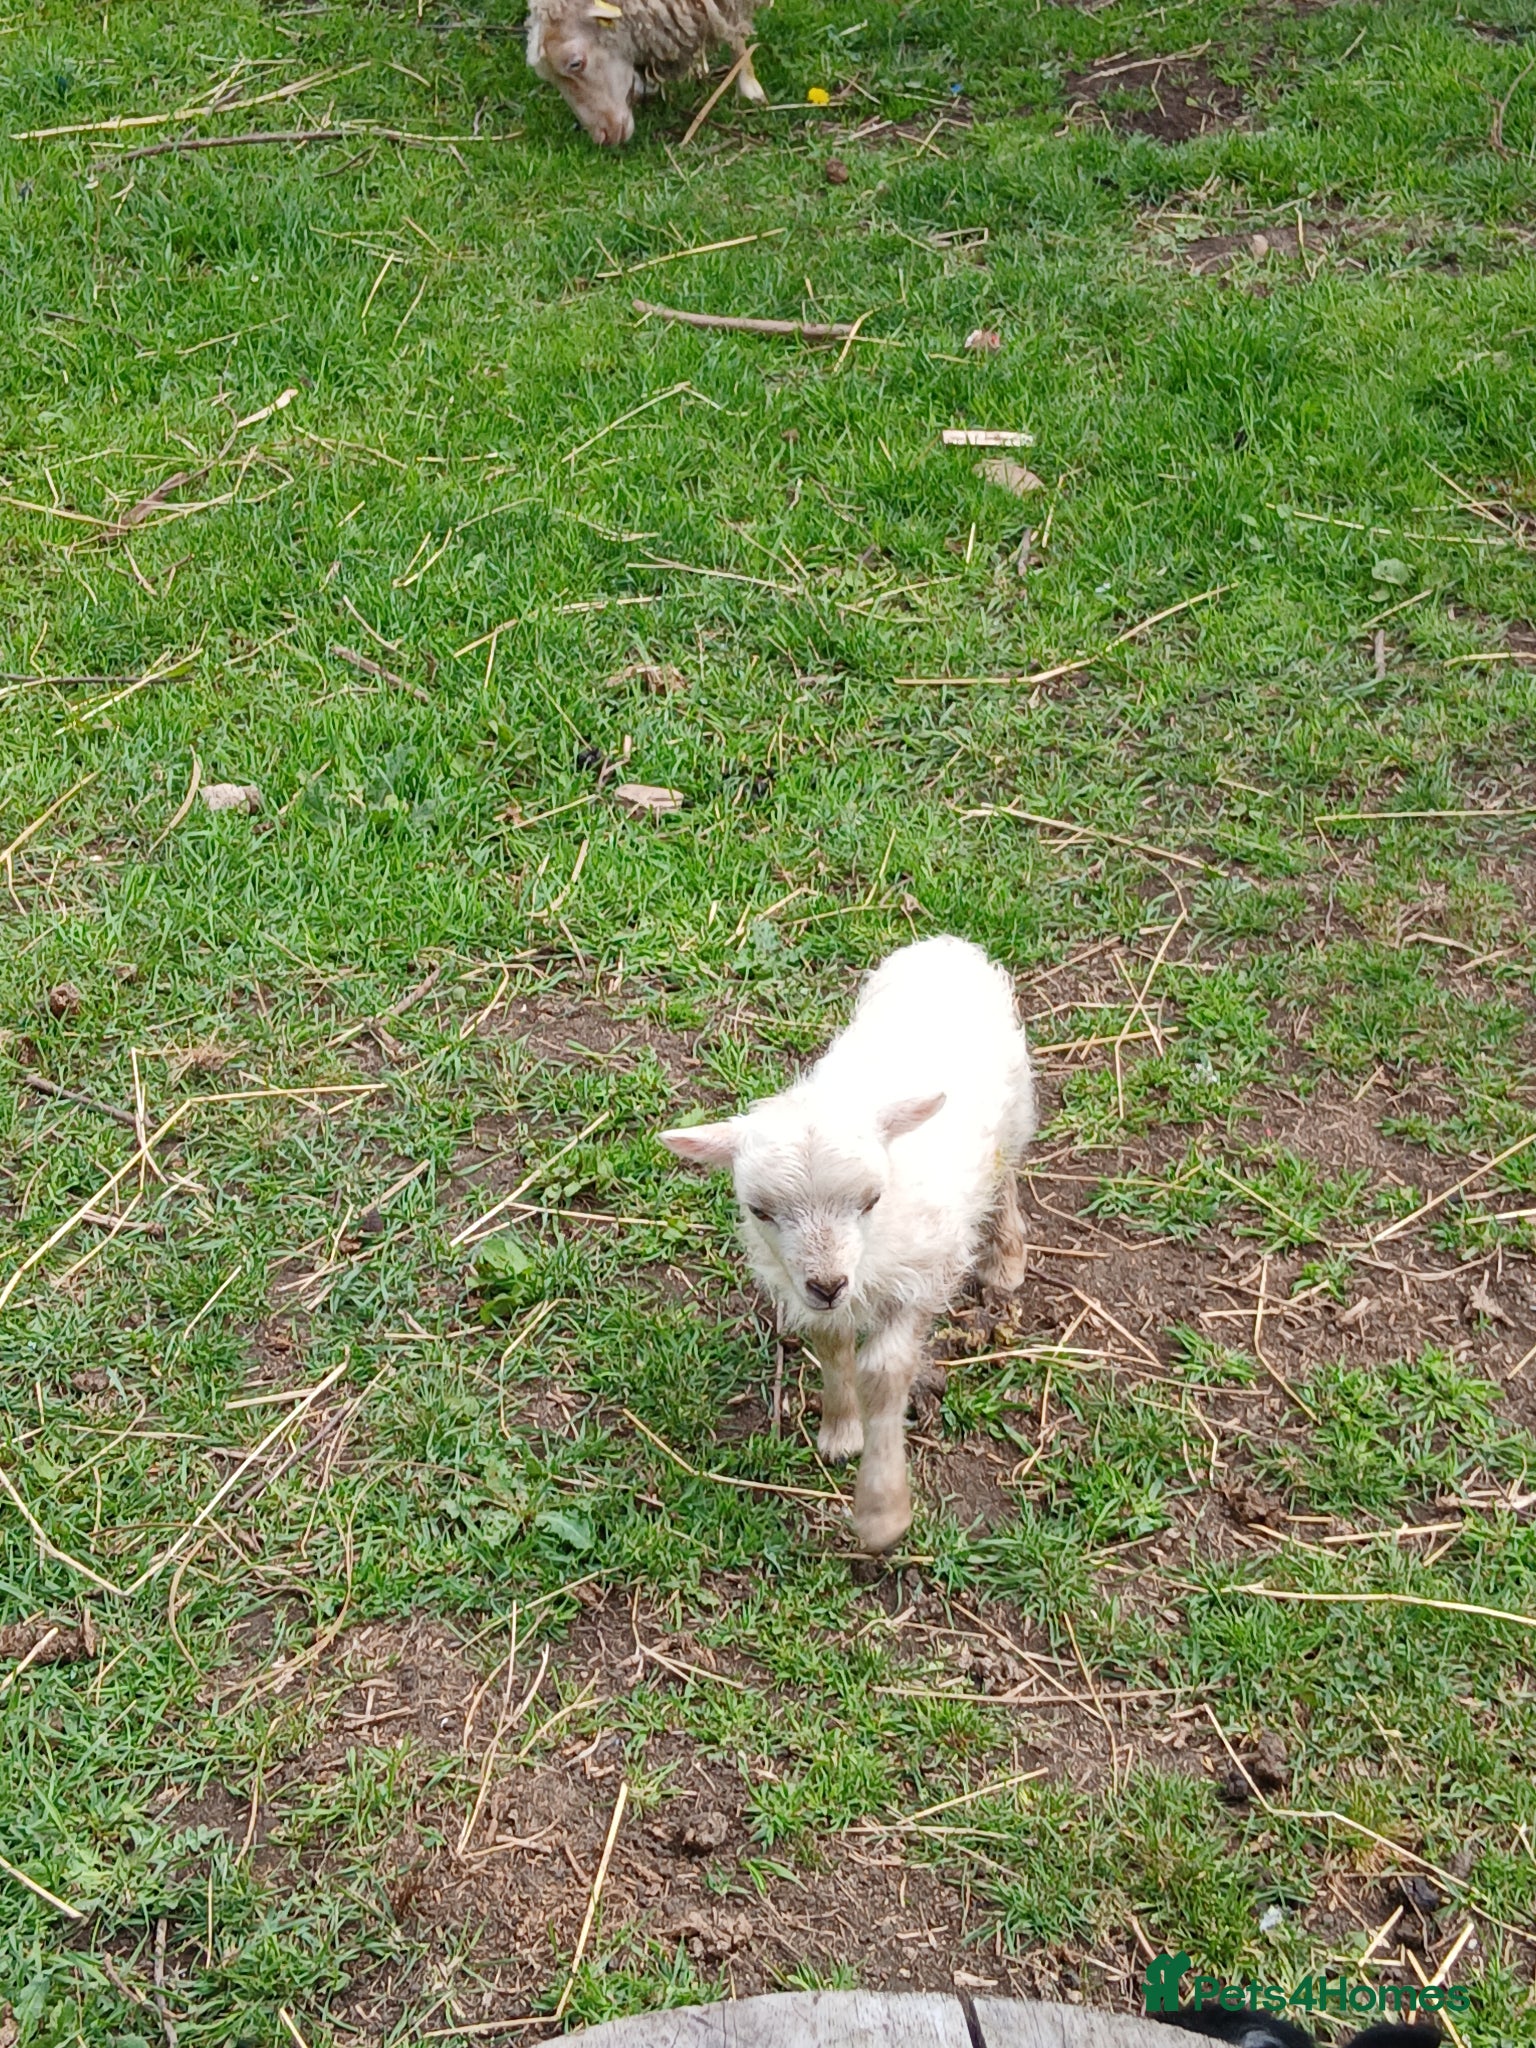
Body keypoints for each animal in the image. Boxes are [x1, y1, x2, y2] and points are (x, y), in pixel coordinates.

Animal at [659, 935, 1036, 1554]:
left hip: (1015, 1108)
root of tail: (945, 944)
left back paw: (1005, 1259)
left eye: (871, 1199)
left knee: (1005, 1175)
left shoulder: (920, 1277)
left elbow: (883, 1372)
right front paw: (840, 1432)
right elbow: (833, 1349)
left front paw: (881, 1510)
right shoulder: (810, 1293)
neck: (869, 1254)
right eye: (760, 1211)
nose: (829, 1283)